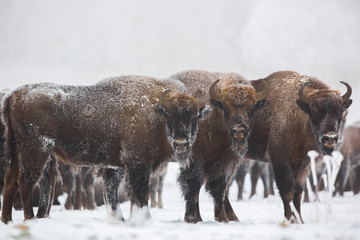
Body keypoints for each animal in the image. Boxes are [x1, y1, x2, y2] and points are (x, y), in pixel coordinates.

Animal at [0, 76, 208, 224]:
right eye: (169, 115)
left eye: (194, 116)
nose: (181, 143)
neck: (154, 110)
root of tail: (15, 94)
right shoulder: (138, 164)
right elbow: (140, 194)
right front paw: (143, 220)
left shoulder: (117, 166)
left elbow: (116, 194)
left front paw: (122, 219)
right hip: (36, 151)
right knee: (26, 181)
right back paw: (29, 218)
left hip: (18, 152)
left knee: (11, 180)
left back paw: (7, 220)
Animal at [170, 70, 268, 223]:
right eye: (226, 107)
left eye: (251, 107)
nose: (238, 131)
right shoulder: (194, 162)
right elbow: (193, 186)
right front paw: (192, 218)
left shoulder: (227, 163)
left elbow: (220, 188)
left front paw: (223, 217)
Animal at [245, 71, 352, 223]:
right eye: (314, 111)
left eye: (340, 113)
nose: (329, 138)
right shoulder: (280, 162)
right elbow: (287, 192)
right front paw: (288, 220)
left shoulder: (302, 165)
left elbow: (298, 194)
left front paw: (299, 220)